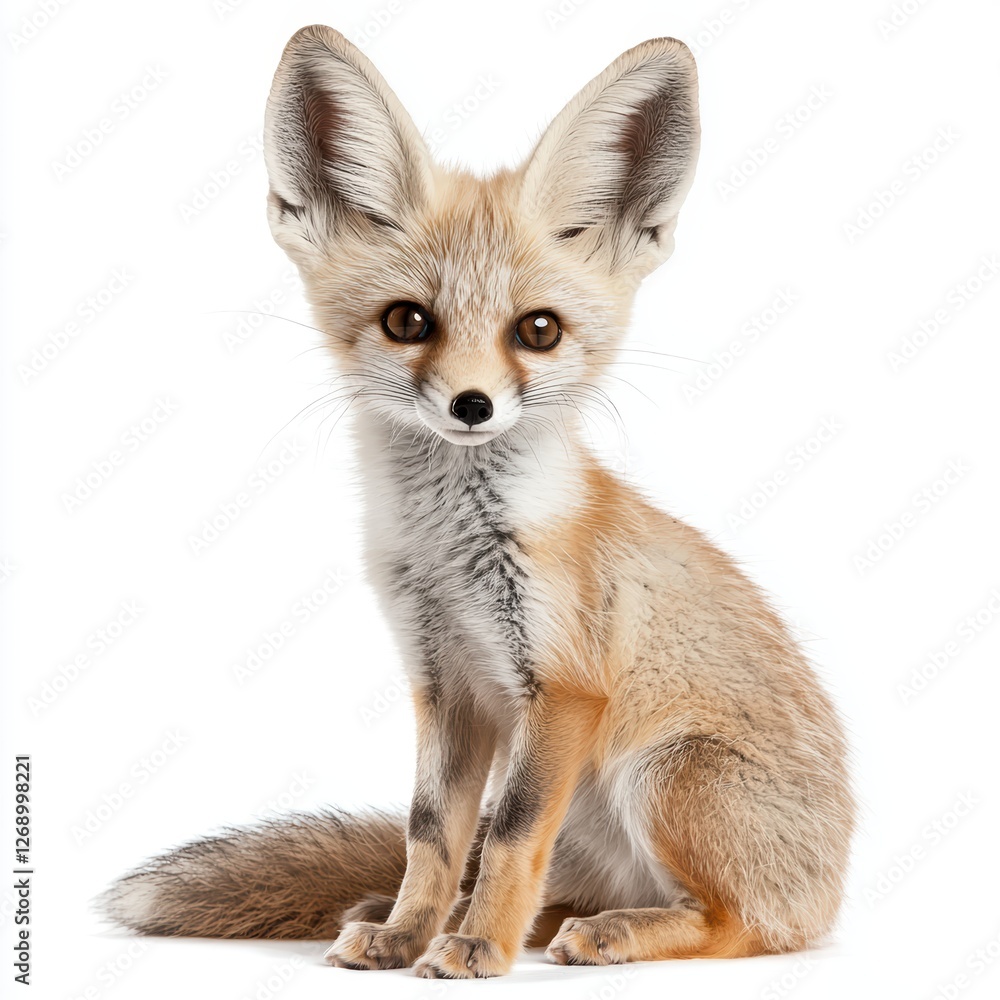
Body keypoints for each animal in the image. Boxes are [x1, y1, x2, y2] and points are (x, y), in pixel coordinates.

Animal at [98, 25, 855, 978]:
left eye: (538, 331)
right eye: (407, 322)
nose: (471, 406)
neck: (451, 553)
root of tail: (831, 894)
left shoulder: (561, 690)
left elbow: (508, 839)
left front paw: (476, 951)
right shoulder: (444, 684)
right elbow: (433, 834)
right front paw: (407, 934)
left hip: (668, 775)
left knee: (736, 923)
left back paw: (601, 934)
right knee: (567, 890)